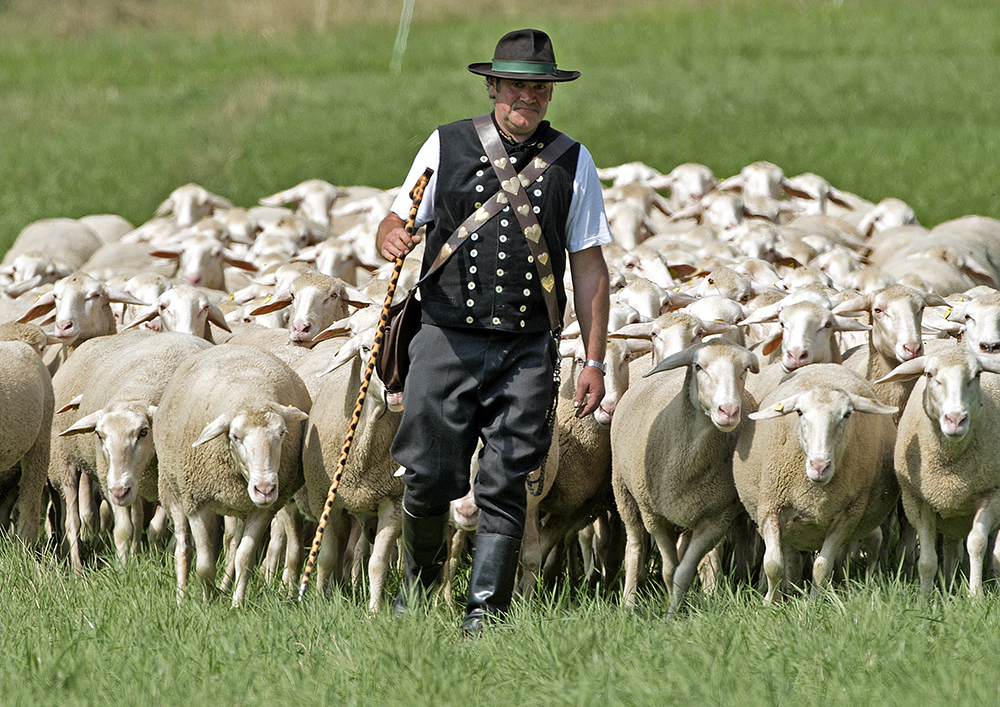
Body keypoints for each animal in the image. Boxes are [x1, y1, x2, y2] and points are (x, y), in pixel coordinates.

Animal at [55, 330, 214, 564]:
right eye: (99, 434)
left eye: (144, 432)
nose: (119, 491)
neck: (137, 393)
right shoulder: (108, 479)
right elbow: (123, 530)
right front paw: (124, 565)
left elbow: (158, 525)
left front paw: (160, 554)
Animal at [155, 346, 308, 604]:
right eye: (235, 436)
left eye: (283, 432)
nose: (265, 489)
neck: (249, 395)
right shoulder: (197, 501)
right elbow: (204, 565)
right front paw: (208, 600)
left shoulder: (261, 510)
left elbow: (244, 559)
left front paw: (237, 603)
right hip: (173, 490)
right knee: (183, 547)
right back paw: (181, 596)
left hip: (239, 505)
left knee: (232, 545)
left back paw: (225, 587)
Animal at [608, 338, 756, 612]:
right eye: (698, 367)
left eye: (743, 370)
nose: (729, 411)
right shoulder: (654, 516)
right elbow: (668, 569)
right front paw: (670, 611)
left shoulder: (716, 518)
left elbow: (683, 571)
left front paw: (677, 609)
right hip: (622, 489)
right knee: (635, 544)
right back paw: (629, 602)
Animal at [736, 366, 900, 604]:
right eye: (799, 412)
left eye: (847, 414)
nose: (819, 466)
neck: (813, 495)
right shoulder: (771, 507)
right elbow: (773, 564)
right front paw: (770, 601)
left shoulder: (848, 516)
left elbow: (821, 567)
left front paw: (813, 602)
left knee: (873, 541)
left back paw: (864, 581)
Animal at [880, 340, 1000, 596]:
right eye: (929, 374)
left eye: (977, 374)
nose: (955, 419)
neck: (949, 465)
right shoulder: (917, 500)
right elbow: (927, 560)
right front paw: (925, 598)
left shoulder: (991, 494)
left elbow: (977, 544)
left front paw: (975, 595)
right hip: (951, 511)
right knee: (951, 548)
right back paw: (948, 581)